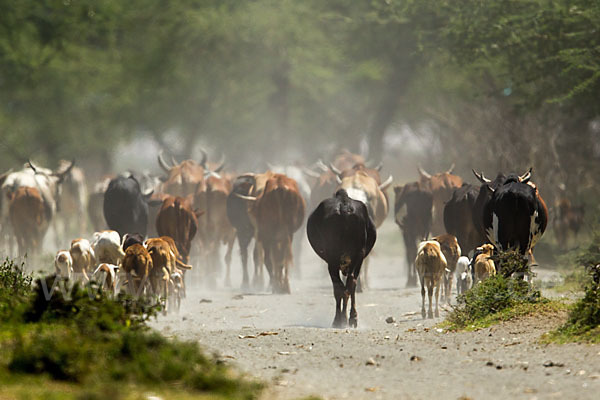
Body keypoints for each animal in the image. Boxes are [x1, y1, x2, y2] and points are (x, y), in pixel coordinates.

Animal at [310, 190, 376, 328]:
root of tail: (344, 206)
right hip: (358, 256)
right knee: (351, 282)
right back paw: (352, 318)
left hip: (333, 258)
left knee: (339, 287)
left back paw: (339, 319)